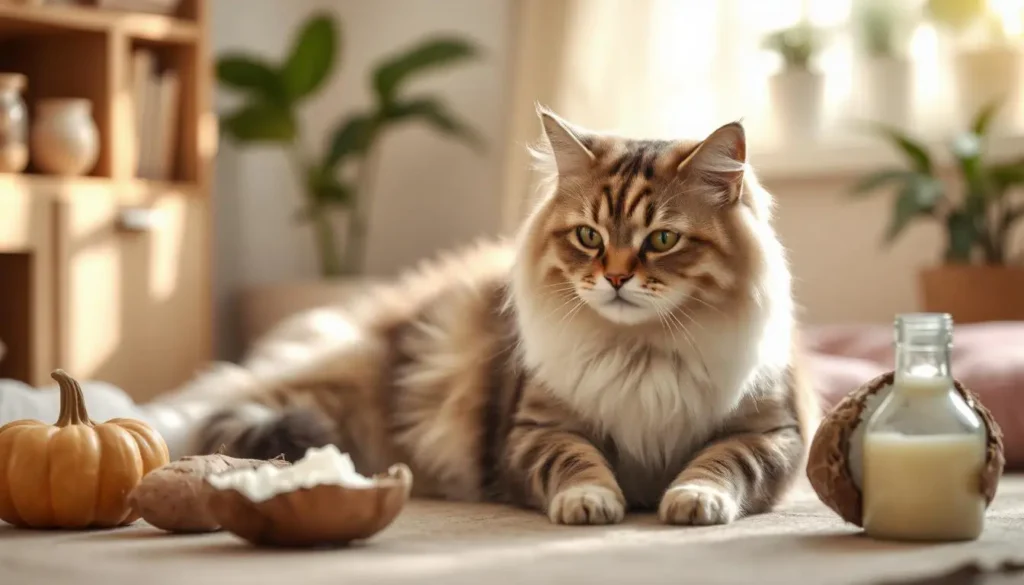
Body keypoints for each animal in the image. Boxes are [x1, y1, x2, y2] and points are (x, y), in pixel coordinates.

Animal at [174, 105, 815, 524]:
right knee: (212, 398)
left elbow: (721, 464)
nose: (614, 278)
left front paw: (693, 499)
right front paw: (591, 501)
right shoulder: (533, 430)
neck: (642, 350)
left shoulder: (771, 432)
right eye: (588, 236)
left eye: (661, 240)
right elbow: (576, 462)